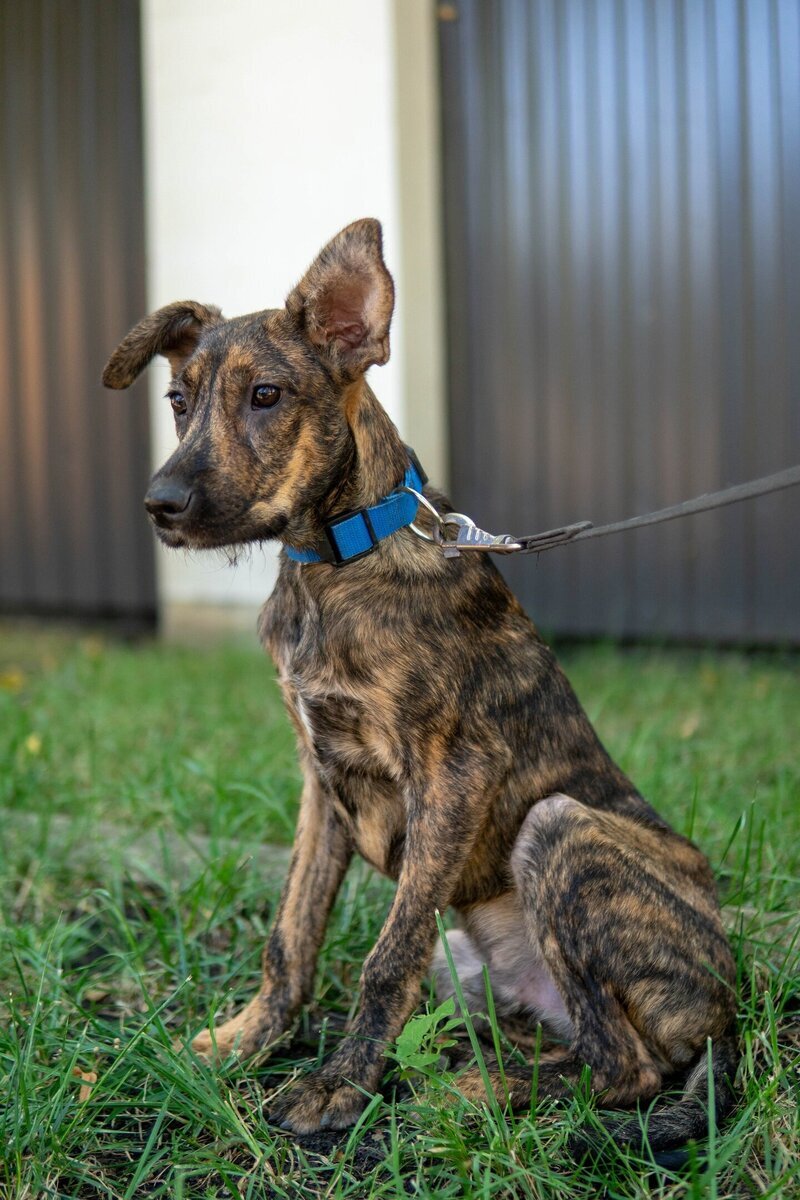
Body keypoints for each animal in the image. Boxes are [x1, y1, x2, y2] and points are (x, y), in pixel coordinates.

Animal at [104, 218, 738, 1152]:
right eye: (178, 401)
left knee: (628, 1068)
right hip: (475, 962)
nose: (162, 505)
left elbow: (384, 957)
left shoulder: (454, 774)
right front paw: (249, 1040)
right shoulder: (319, 781)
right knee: (568, 1038)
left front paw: (337, 1087)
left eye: (266, 395)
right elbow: (292, 935)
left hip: (559, 829)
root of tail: (729, 1007)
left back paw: (465, 1098)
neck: (335, 560)